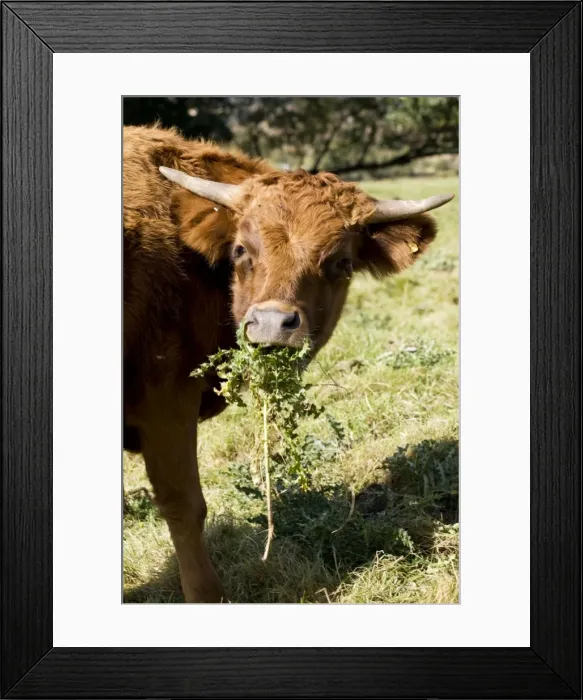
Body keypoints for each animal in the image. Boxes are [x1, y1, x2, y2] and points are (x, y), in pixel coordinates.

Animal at [123, 124, 454, 602]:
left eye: (341, 262)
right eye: (241, 250)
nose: (272, 324)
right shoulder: (166, 399)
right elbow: (184, 504)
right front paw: (207, 593)